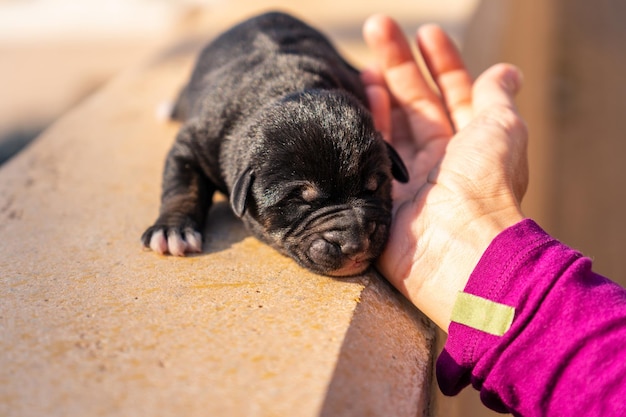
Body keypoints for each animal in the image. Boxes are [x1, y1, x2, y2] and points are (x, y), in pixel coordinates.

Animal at [140, 11, 408, 276]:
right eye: (298, 200)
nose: (356, 244)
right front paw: (172, 230)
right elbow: (183, 185)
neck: (288, 87)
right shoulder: (196, 141)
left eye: (375, 187)